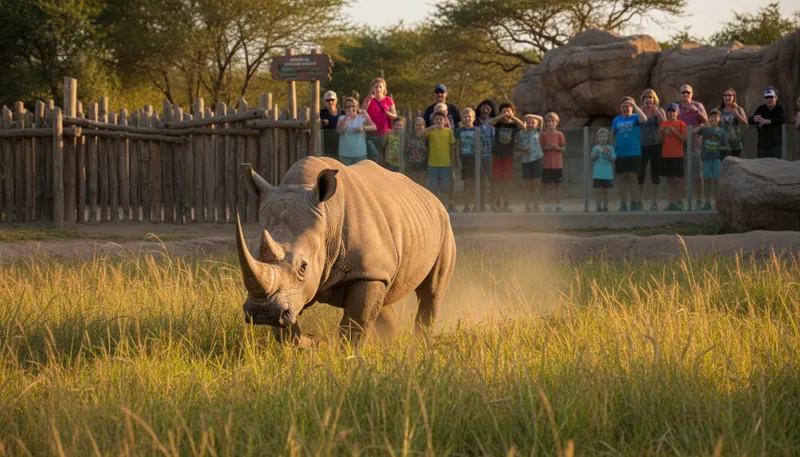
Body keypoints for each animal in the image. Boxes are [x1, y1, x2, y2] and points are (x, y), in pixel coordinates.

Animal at [235, 157, 456, 343]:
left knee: (431, 292)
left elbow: (355, 325)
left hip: (444, 226)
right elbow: (286, 330)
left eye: (303, 267)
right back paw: (390, 344)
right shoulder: (290, 294)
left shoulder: (366, 272)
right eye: (254, 255)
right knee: (385, 297)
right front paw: (309, 343)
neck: (327, 220)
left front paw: (349, 357)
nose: (263, 312)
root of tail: (430, 195)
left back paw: (419, 347)